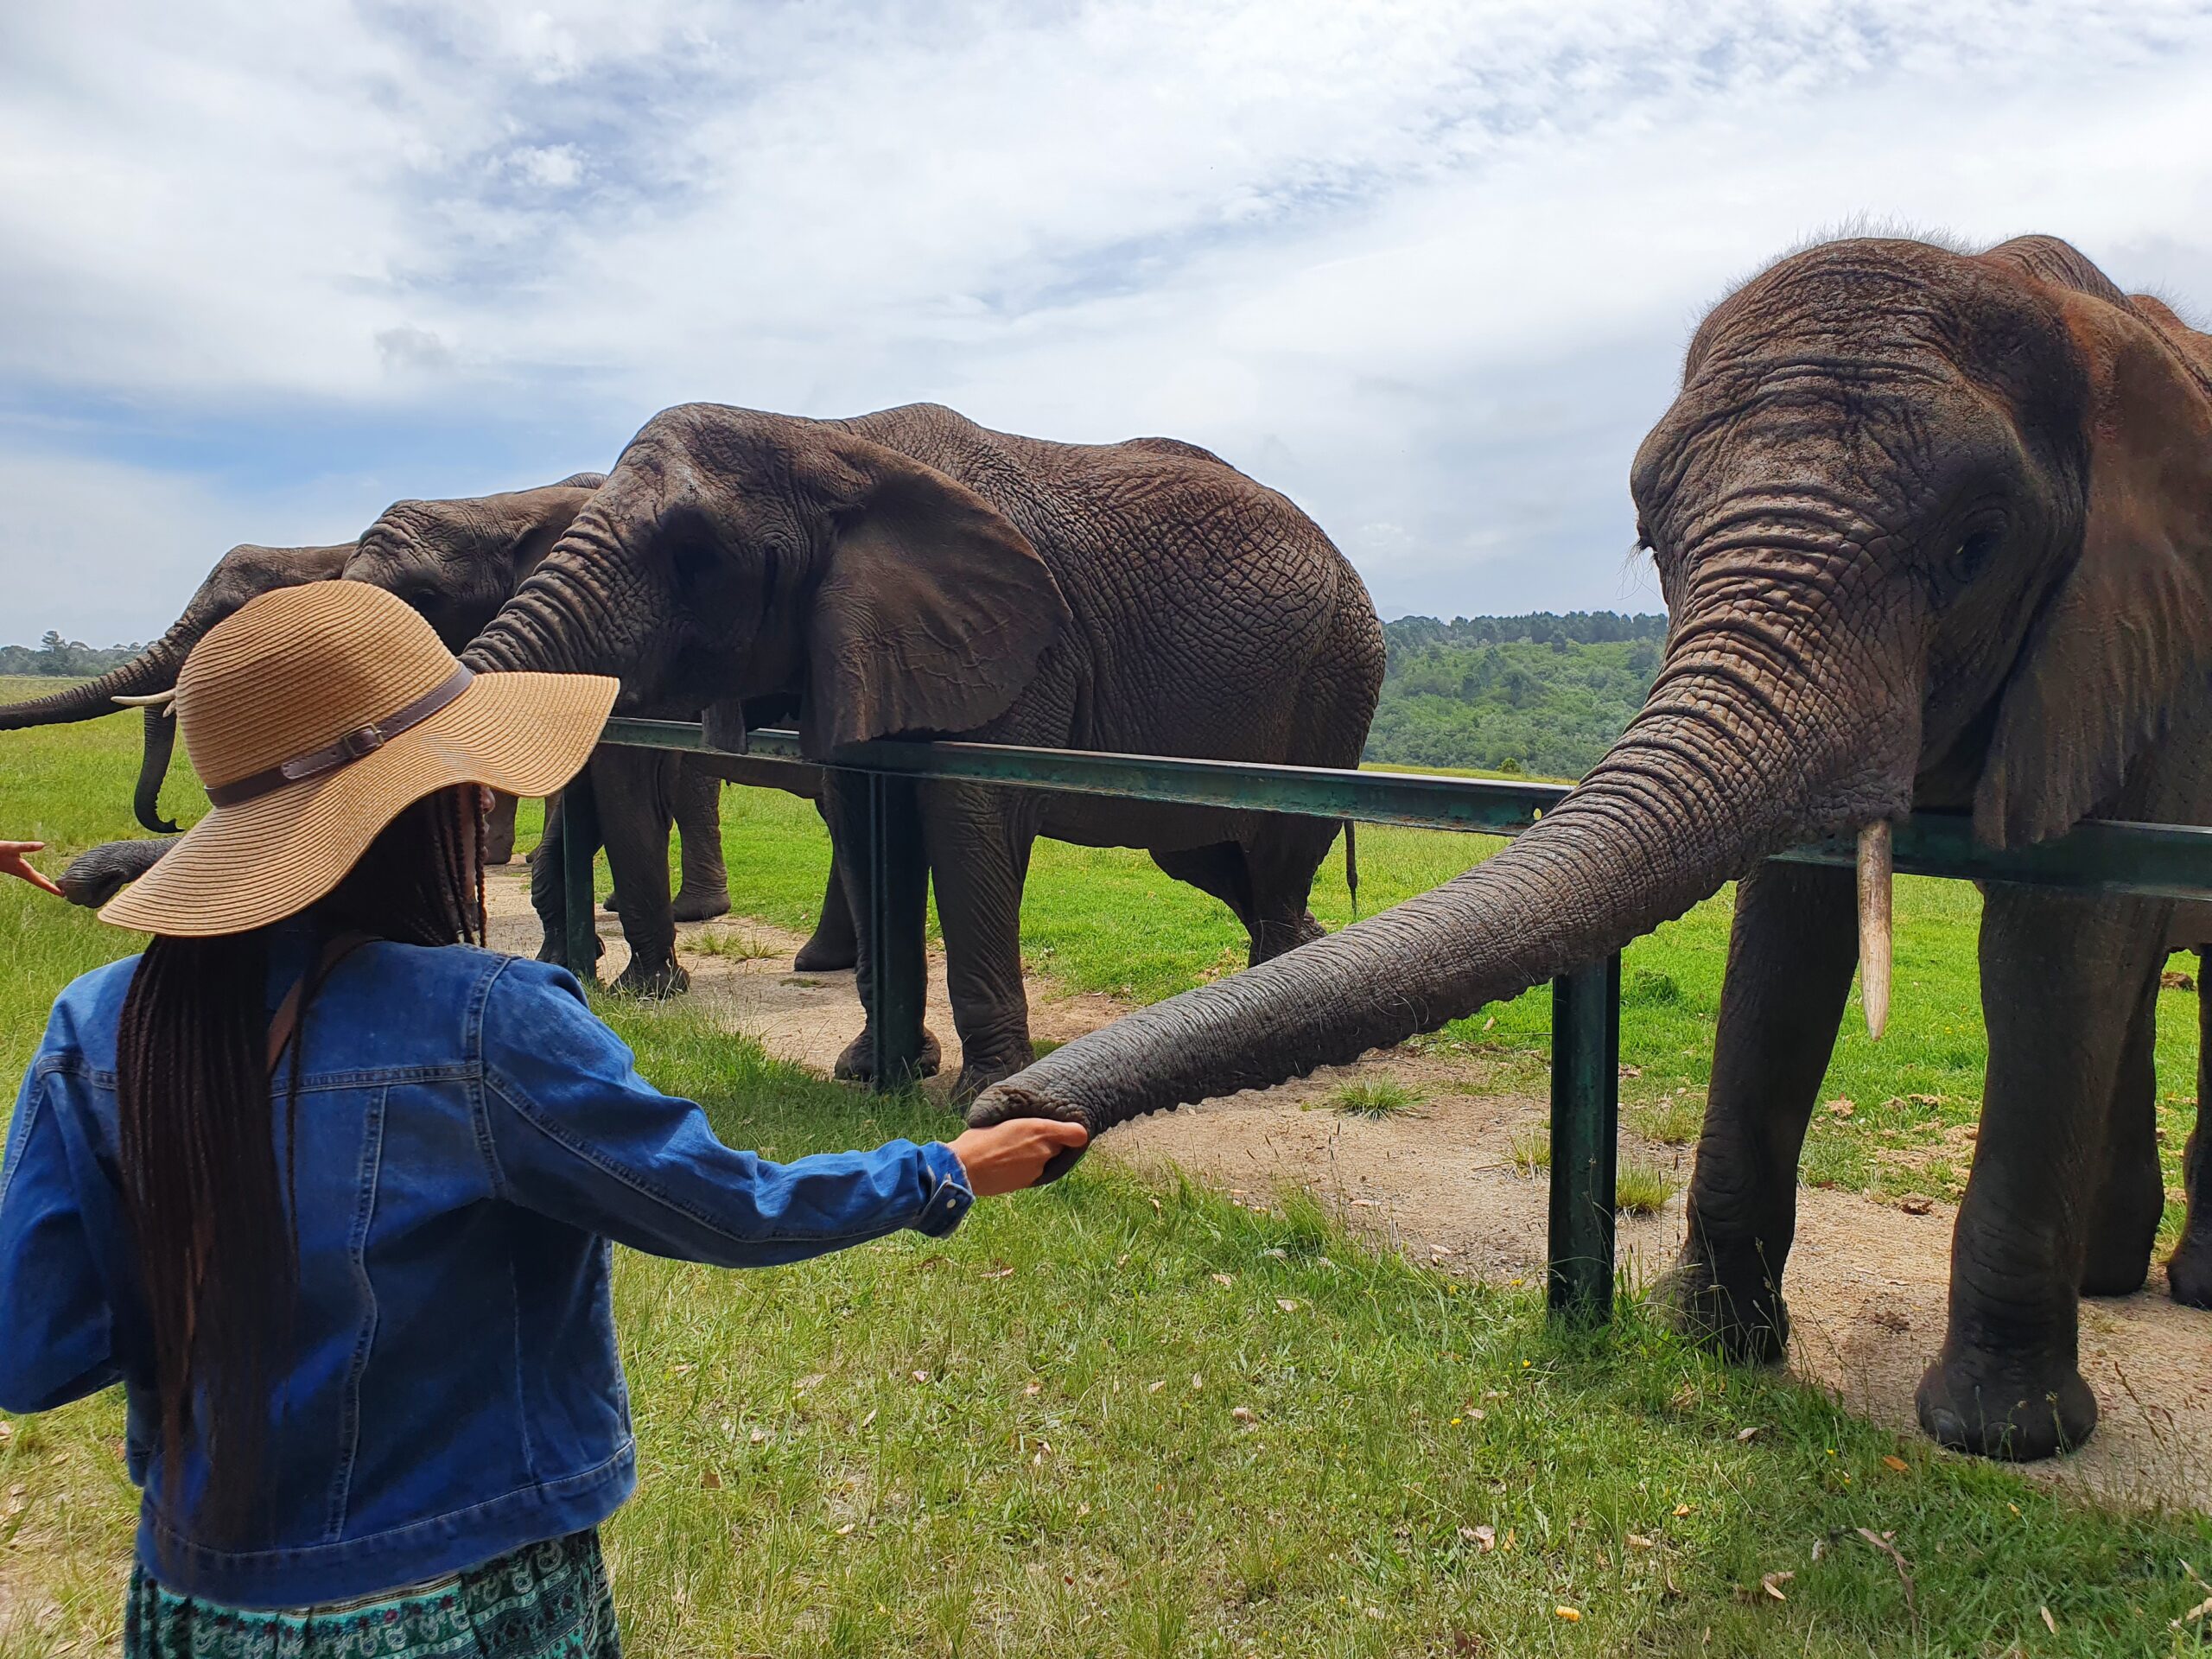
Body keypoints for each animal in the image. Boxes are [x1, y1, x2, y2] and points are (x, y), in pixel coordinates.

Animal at [0, 479, 857, 985]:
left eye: (420, 597)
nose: (79, 883)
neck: (501, 503)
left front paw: (640, 991)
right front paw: (564, 966)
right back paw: (817, 961)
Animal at [462, 401, 1385, 1100]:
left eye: (696, 553)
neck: (828, 437)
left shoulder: (1023, 647)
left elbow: (968, 816)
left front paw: (982, 1092)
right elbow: (863, 820)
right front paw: (872, 1075)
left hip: (1337, 673)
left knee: (1274, 852)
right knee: (1209, 855)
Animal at [968, 234, 2212, 1463]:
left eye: (1976, 547)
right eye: (1652, 543)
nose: (1010, 1123)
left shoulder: (2133, 640)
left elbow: (2055, 950)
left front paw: (1998, 1436)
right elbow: (1782, 937)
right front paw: (1711, 1344)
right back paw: (2112, 1278)